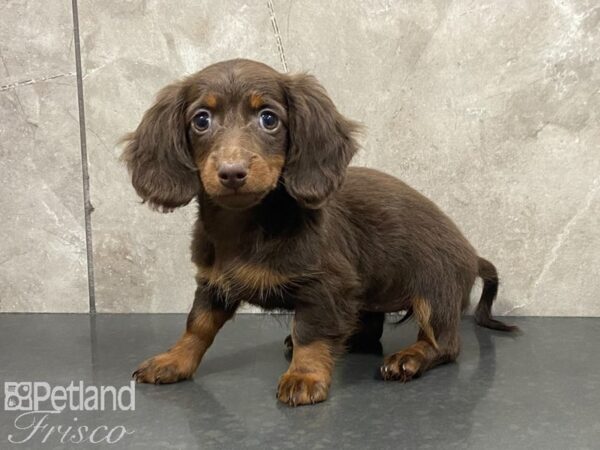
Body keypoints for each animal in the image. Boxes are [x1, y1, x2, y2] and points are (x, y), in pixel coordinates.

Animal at [123, 59, 516, 408]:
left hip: (436, 294)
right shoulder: (213, 284)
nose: (232, 172)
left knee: (445, 344)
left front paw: (304, 377)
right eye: (201, 120)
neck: (246, 223)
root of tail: (472, 255)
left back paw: (410, 358)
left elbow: (310, 333)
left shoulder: (325, 285)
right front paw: (173, 361)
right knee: (368, 327)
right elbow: (198, 326)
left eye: (269, 118)